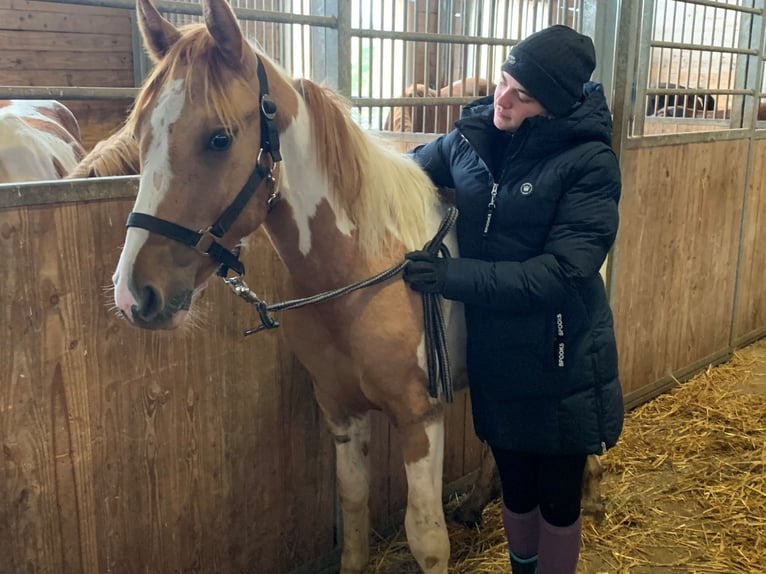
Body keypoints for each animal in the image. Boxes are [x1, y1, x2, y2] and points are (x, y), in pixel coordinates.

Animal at [87, 0, 608, 572]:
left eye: (219, 137)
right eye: (141, 135)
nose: (135, 295)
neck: (362, 276)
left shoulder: (419, 420)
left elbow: (426, 538)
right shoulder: (341, 411)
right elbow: (354, 507)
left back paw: (592, 496)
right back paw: (474, 504)